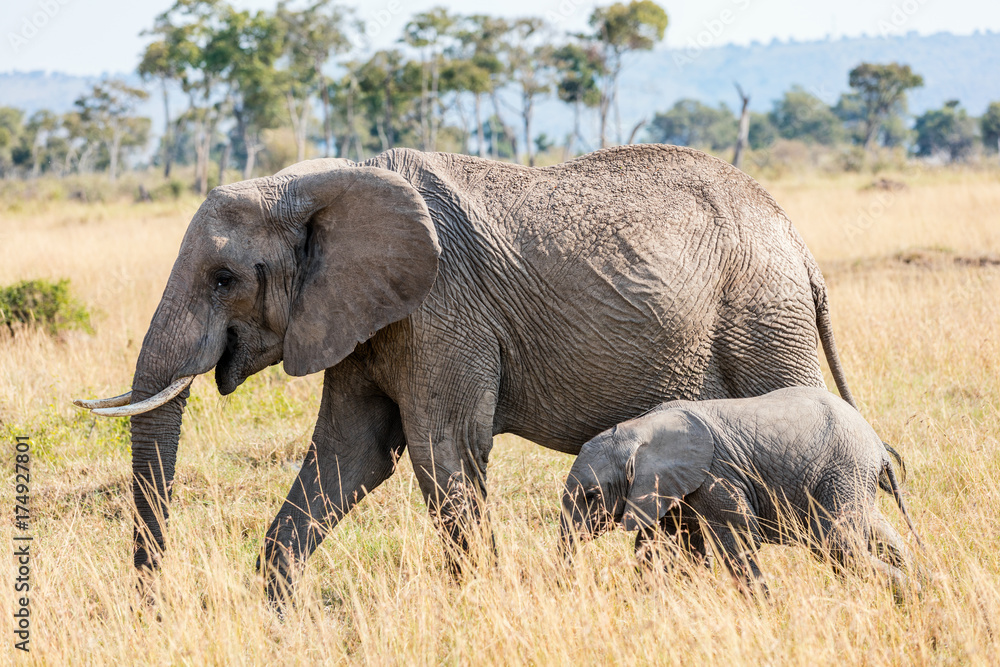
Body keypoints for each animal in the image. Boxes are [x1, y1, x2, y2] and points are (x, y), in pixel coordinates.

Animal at [74, 144, 860, 602]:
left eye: (225, 278)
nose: (153, 610)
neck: (315, 183)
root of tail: (801, 246)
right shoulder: (363, 316)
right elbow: (350, 455)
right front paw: (280, 616)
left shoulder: (440, 310)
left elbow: (441, 449)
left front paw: (476, 603)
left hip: (764, 319)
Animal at [560, 387, 920, 597]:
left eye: (591, 496)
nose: (569, 581)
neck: (638, 428)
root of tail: (878, 445)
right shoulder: (670, 488)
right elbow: (665, 544)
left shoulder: (714, 474)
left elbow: (740, 538)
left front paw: (765, 608)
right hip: (852, 477)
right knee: (880, 533)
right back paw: (922, 585)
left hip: (842, 470)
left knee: (837, 544)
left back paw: (911, 591)